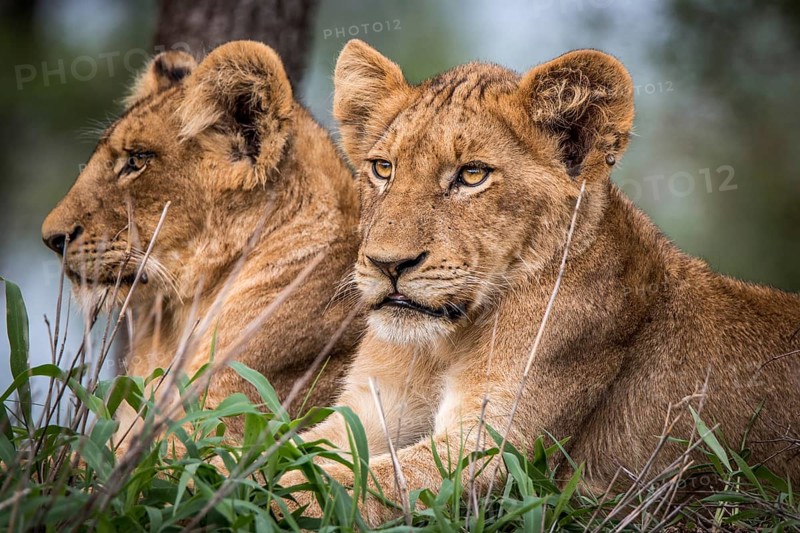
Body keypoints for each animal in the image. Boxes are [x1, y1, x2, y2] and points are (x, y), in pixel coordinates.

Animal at [277, 40, 800, 524]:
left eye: (472, 175)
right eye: (383, 168)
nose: (387, 264)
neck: (443, 344)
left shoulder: (499, 452)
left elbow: (344, 483)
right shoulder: (366, 411)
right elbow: (283, 446)